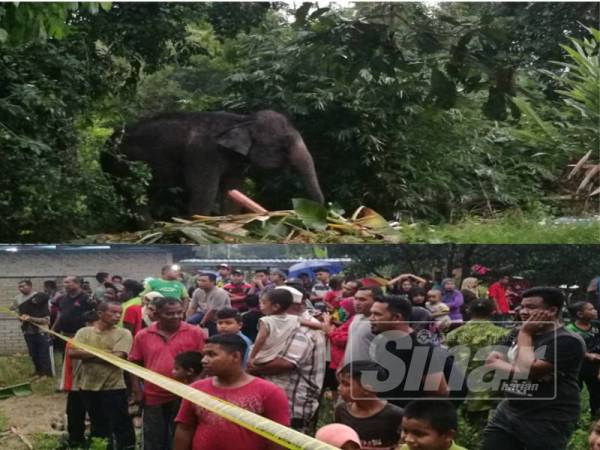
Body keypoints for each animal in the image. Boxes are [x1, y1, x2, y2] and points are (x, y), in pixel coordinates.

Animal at [101, 110, 324, 221]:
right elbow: (203, 191)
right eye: (284, 144)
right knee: (135, 197)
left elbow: (231, 189)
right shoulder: (203, 153)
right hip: (119, 164)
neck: (242, 120)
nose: (324, 212)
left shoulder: (236, 161)